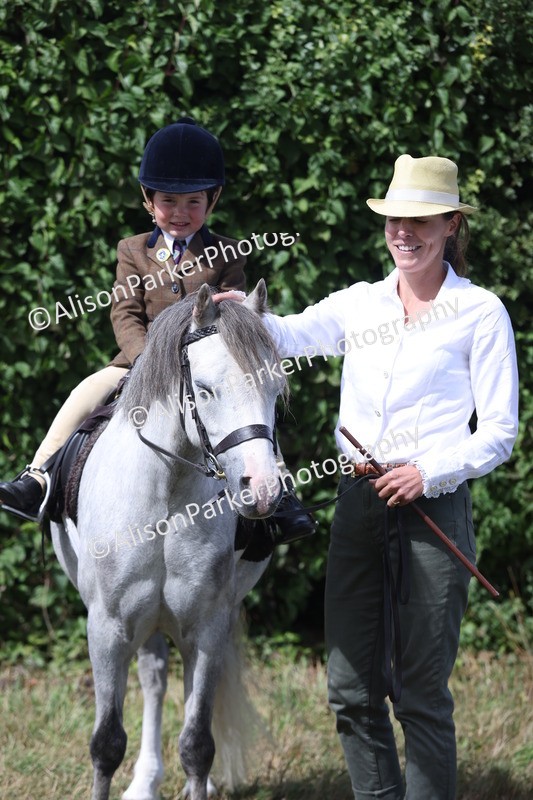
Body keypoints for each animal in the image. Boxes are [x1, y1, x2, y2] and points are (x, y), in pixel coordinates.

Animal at [50, 279, 287, 800]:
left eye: (275, 389)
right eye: (207, 390)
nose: (261, 490)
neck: (167, 487)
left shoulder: (208, 623)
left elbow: (197, 744)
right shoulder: (108, 626)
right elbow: (106, 744)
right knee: (155, 680)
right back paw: (144, 781)